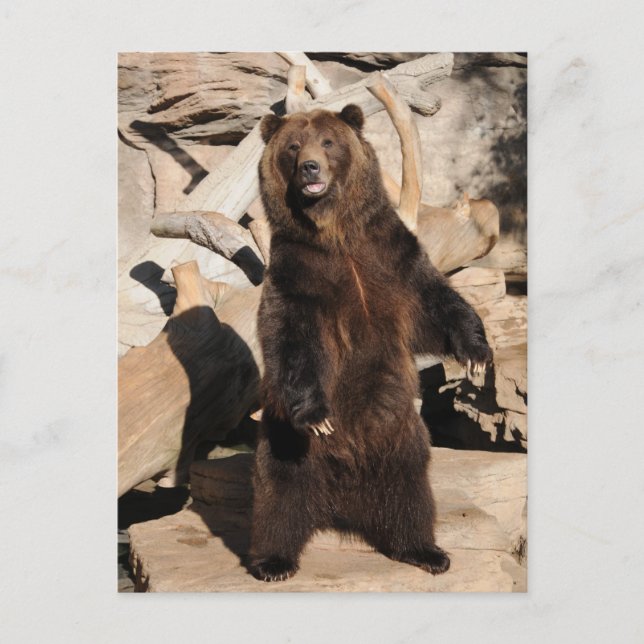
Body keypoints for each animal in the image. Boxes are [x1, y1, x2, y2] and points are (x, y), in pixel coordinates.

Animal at [248, 104, 492, 582]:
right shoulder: (295, 276)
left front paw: (475, 354)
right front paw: (319, 416)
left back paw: (426, 551)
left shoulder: (391, 257)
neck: (335, 234)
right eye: (292, 147)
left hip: (400, 432)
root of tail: (343, 482)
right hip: (284, 433)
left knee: (411, 489)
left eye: (328, 142)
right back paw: (273, 561)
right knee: (279, 487)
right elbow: (291, 343)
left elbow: (437, 302)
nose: (310, 167)